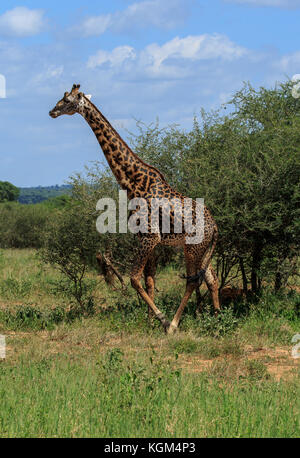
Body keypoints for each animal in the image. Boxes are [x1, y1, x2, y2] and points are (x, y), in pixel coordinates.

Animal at [48, 83, 219, 332]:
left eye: (68, 101)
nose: (52, 112)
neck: (132, 181)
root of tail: (215, 228)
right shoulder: (147, 239)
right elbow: (149, 280)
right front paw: (149, 321)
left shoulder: (149, 237)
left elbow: (134, 278)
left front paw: (161, 318)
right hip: (203, 249)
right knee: (211, 278)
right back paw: (218, 318)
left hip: (192, 248)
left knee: (193, 281)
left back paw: (174, 324)